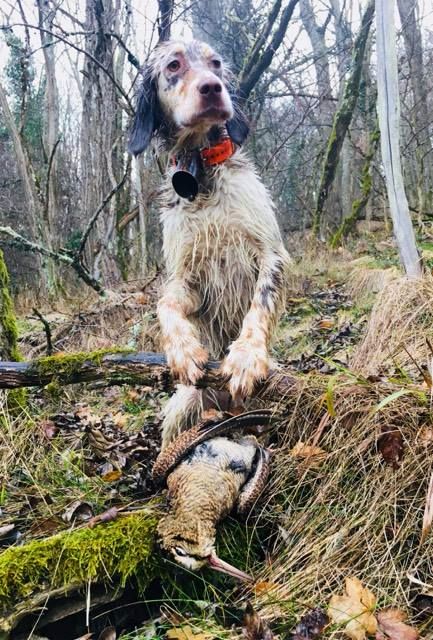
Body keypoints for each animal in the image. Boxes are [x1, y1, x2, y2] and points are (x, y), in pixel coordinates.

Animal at [129, 38, 290, 450]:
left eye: (215, 63)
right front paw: (183, 348)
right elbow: (166, 303)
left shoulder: (270, 253)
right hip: (183, 409)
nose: (212, 88)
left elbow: (259, 303)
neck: (200, 172)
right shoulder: (187, 277)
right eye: (173, 65)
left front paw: (247, 355)